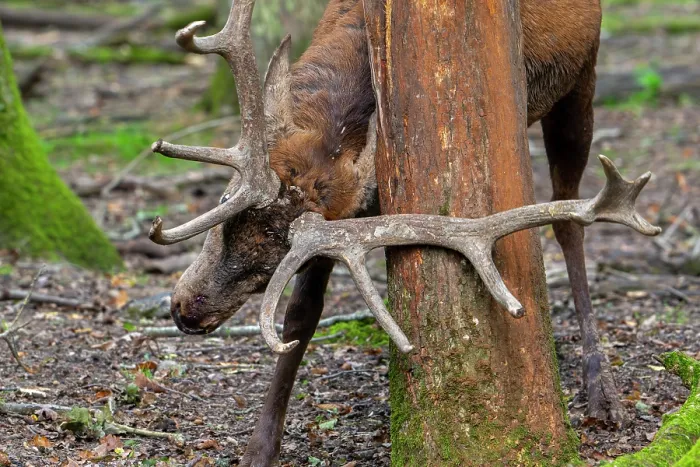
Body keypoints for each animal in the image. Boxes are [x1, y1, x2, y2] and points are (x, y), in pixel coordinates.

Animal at [147, 0, 660, 464]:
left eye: (274, 258)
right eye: (222, 204)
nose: (186, 311)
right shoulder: (341, 221)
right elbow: (302, 316)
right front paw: (260, 449)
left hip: (582, 81)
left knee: (570, 218)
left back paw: (602, 391)